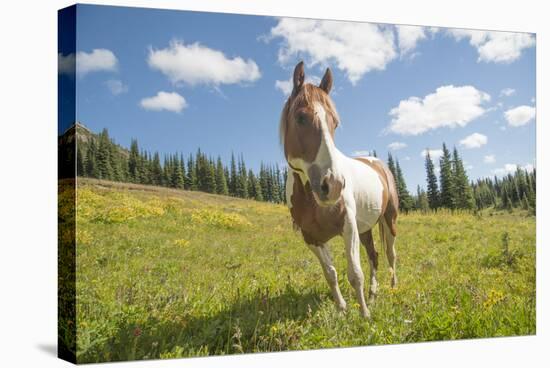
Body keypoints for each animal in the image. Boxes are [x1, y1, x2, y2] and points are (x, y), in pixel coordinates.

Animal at [282, 61, 398, 318]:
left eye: (334, 122)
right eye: (300, 117)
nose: (332, 185)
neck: (311, 200)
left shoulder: (349, 228)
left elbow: (355, 274)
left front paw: (364, 315)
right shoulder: (311, 238)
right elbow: (331, 274)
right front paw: (342, 307)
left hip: (389, 219)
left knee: (390, 254)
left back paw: (393, 286)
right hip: (366, 228)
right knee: (374, 256)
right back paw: (373, 293)